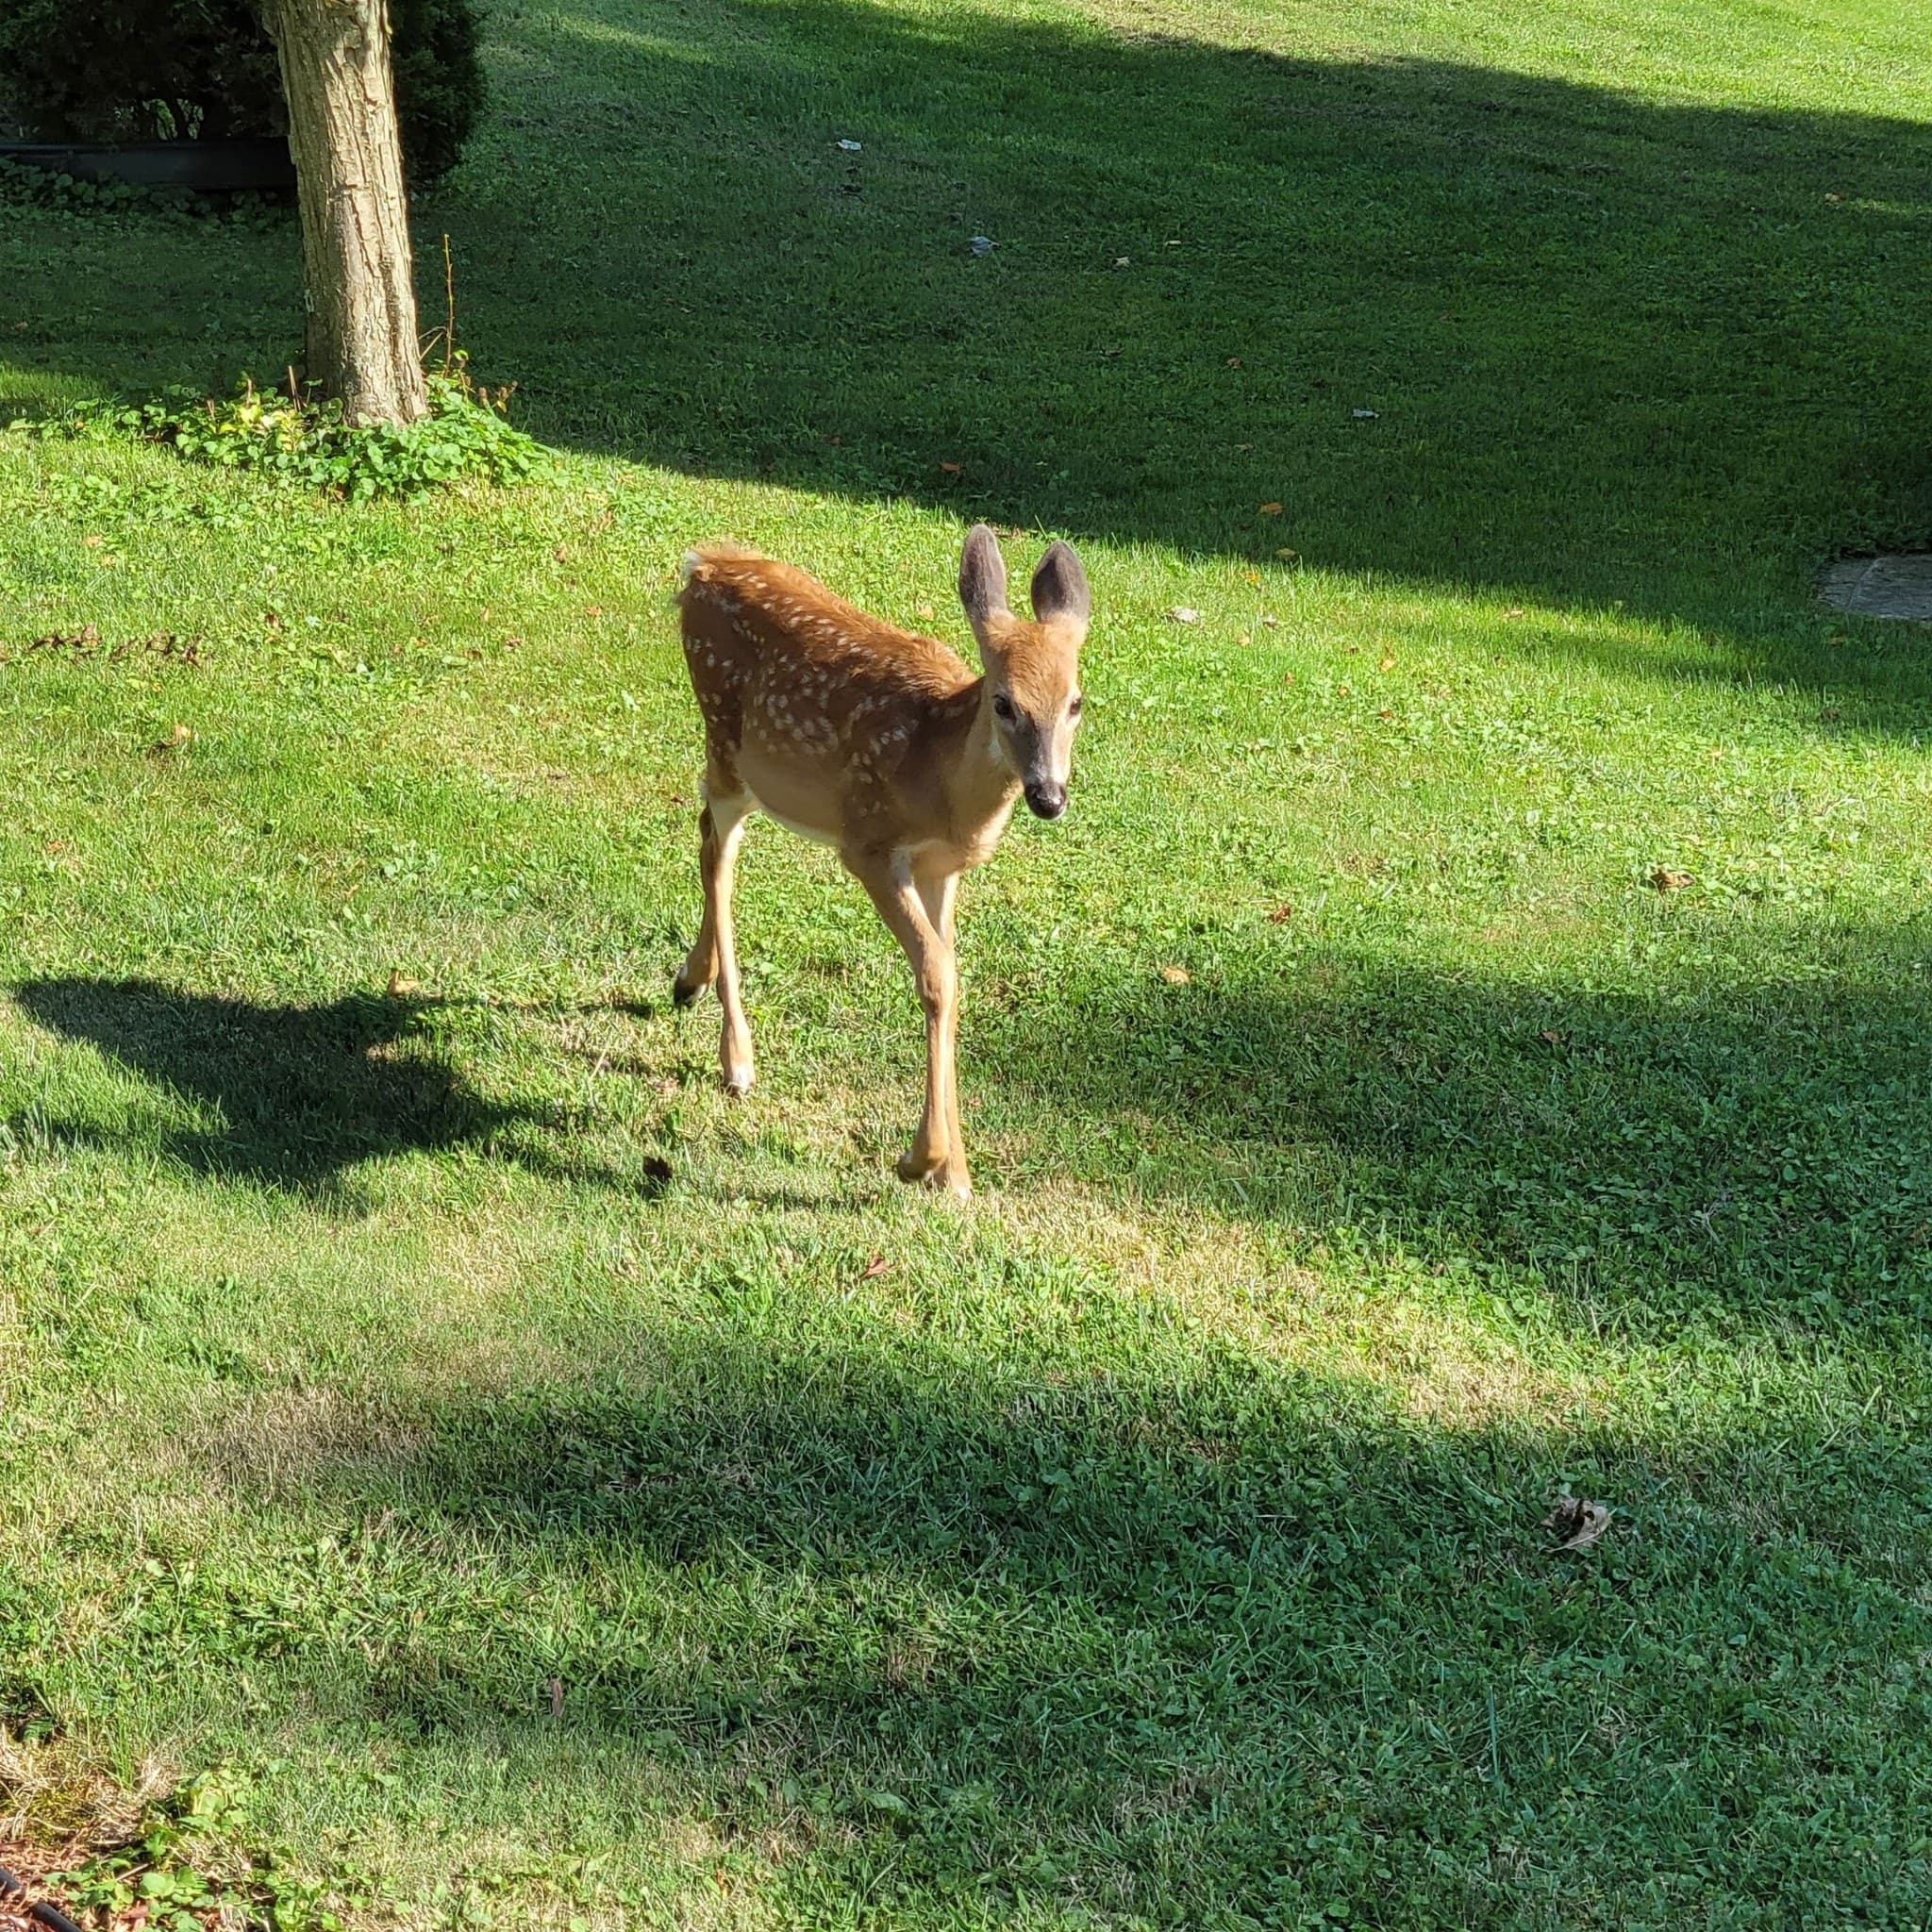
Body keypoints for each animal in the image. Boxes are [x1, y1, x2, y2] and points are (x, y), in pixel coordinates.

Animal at [671, 523, 1091, 1200]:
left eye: (1076, 702)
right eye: (1004, 703)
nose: (1048, 796)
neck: (939, 778)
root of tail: (701, 567)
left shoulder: (942, 871)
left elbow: (949, 977)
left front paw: (956, 1173)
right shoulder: (867, 844)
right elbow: (936, 974)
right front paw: (922, 1161)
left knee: (708, 830)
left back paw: (691, 979)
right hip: (726, 737)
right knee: (717, 850)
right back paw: (736, 1056)